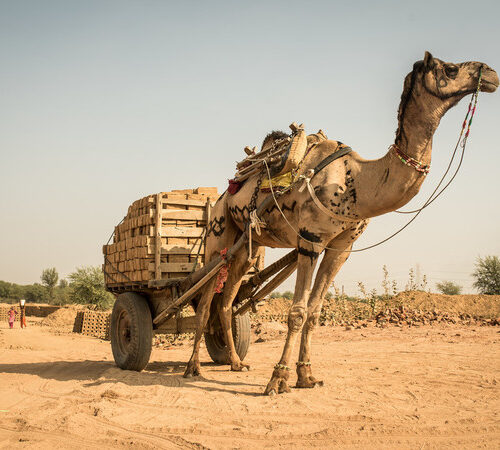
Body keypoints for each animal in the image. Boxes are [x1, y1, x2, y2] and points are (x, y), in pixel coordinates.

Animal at [185, 51, 500, 394]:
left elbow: (315, 311)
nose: (491, 74)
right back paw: (192, 368)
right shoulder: (310, 240)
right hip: (219, 235)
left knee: (226, 302)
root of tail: (222, 196)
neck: (356, 181)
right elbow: (297, 312)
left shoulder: (341, 247)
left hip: (247, 248)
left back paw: (236, 362)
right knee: (204, 302)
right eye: (451, 69)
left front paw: (306, 376)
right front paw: (278, 380)